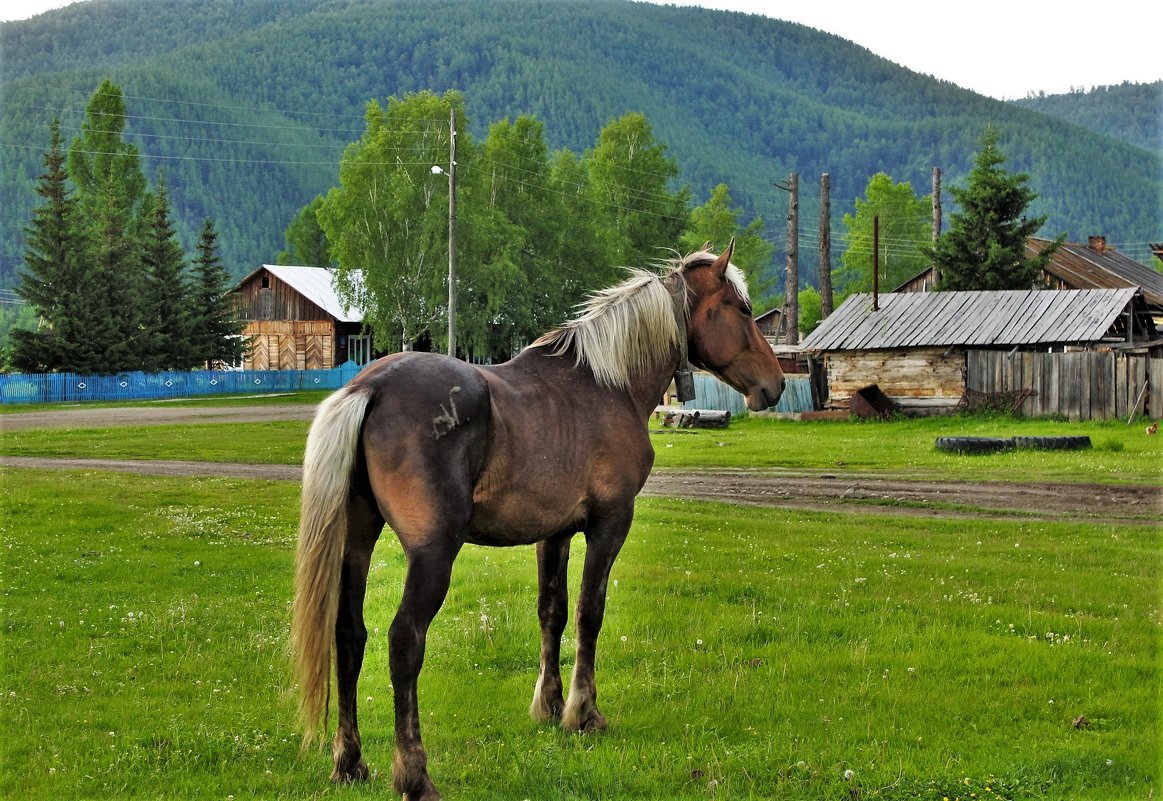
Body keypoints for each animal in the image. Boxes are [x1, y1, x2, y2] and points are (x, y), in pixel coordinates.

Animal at [290, 240, 786, 795]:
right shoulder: (610, 525)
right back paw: (414, 775)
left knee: (349, 635)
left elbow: (553, 612)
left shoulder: (555, 535)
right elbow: (590, 614)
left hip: (357, 541)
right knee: (404, 642)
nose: (776, 384)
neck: (607, 384)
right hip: (432, 554)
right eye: (742, 310)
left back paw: (350, 761)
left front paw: (548, 705)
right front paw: (582, 712)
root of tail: (369, 388)